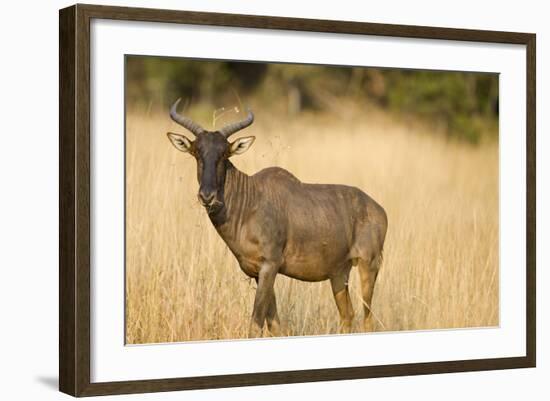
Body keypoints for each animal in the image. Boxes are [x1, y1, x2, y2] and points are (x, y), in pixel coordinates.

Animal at [168, 98, 388, 336]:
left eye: (224, 153)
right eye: (196, 152)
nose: (207, 196)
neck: (251, 199)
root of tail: (379, 210)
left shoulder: (270, 266)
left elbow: (256, 322)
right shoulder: (258, 272)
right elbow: (274, 324)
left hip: (368, 265)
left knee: (367, 317)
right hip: (339, 273)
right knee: (347, 315)